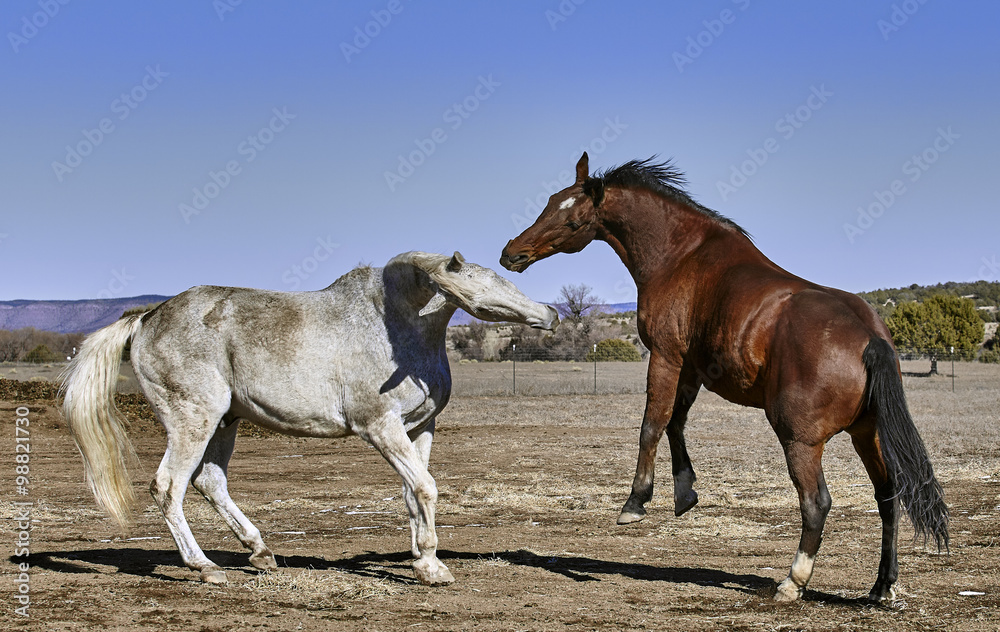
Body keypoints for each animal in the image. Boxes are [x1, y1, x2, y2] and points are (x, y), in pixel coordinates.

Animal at [61, 251, 558, 586]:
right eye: (491, 282)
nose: (550, 313)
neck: (396, 330)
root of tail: (145, 318)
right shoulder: (380, 427)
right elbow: (424, 487)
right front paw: (433, 568)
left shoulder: (419, 428)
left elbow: (412, 493)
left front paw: (423, 558)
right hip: (193, 420)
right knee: (168, 486)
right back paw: (205, 567)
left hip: (224, 421)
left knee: (210, 482)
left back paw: (260, 552)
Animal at [500, 153, 948, 602]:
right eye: (548, 204)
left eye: (573, 221)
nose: (511, 253)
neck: (682, 256)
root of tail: (870, 336)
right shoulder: (694, 368)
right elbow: (675, 423)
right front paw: (684, 492)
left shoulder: (666, 356)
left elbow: (652, 424)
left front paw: (636, 501)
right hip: (867, 435)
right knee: (888, 496)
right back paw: (882, 586)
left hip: (800, 440)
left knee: (816, 502)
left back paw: (793, 582)